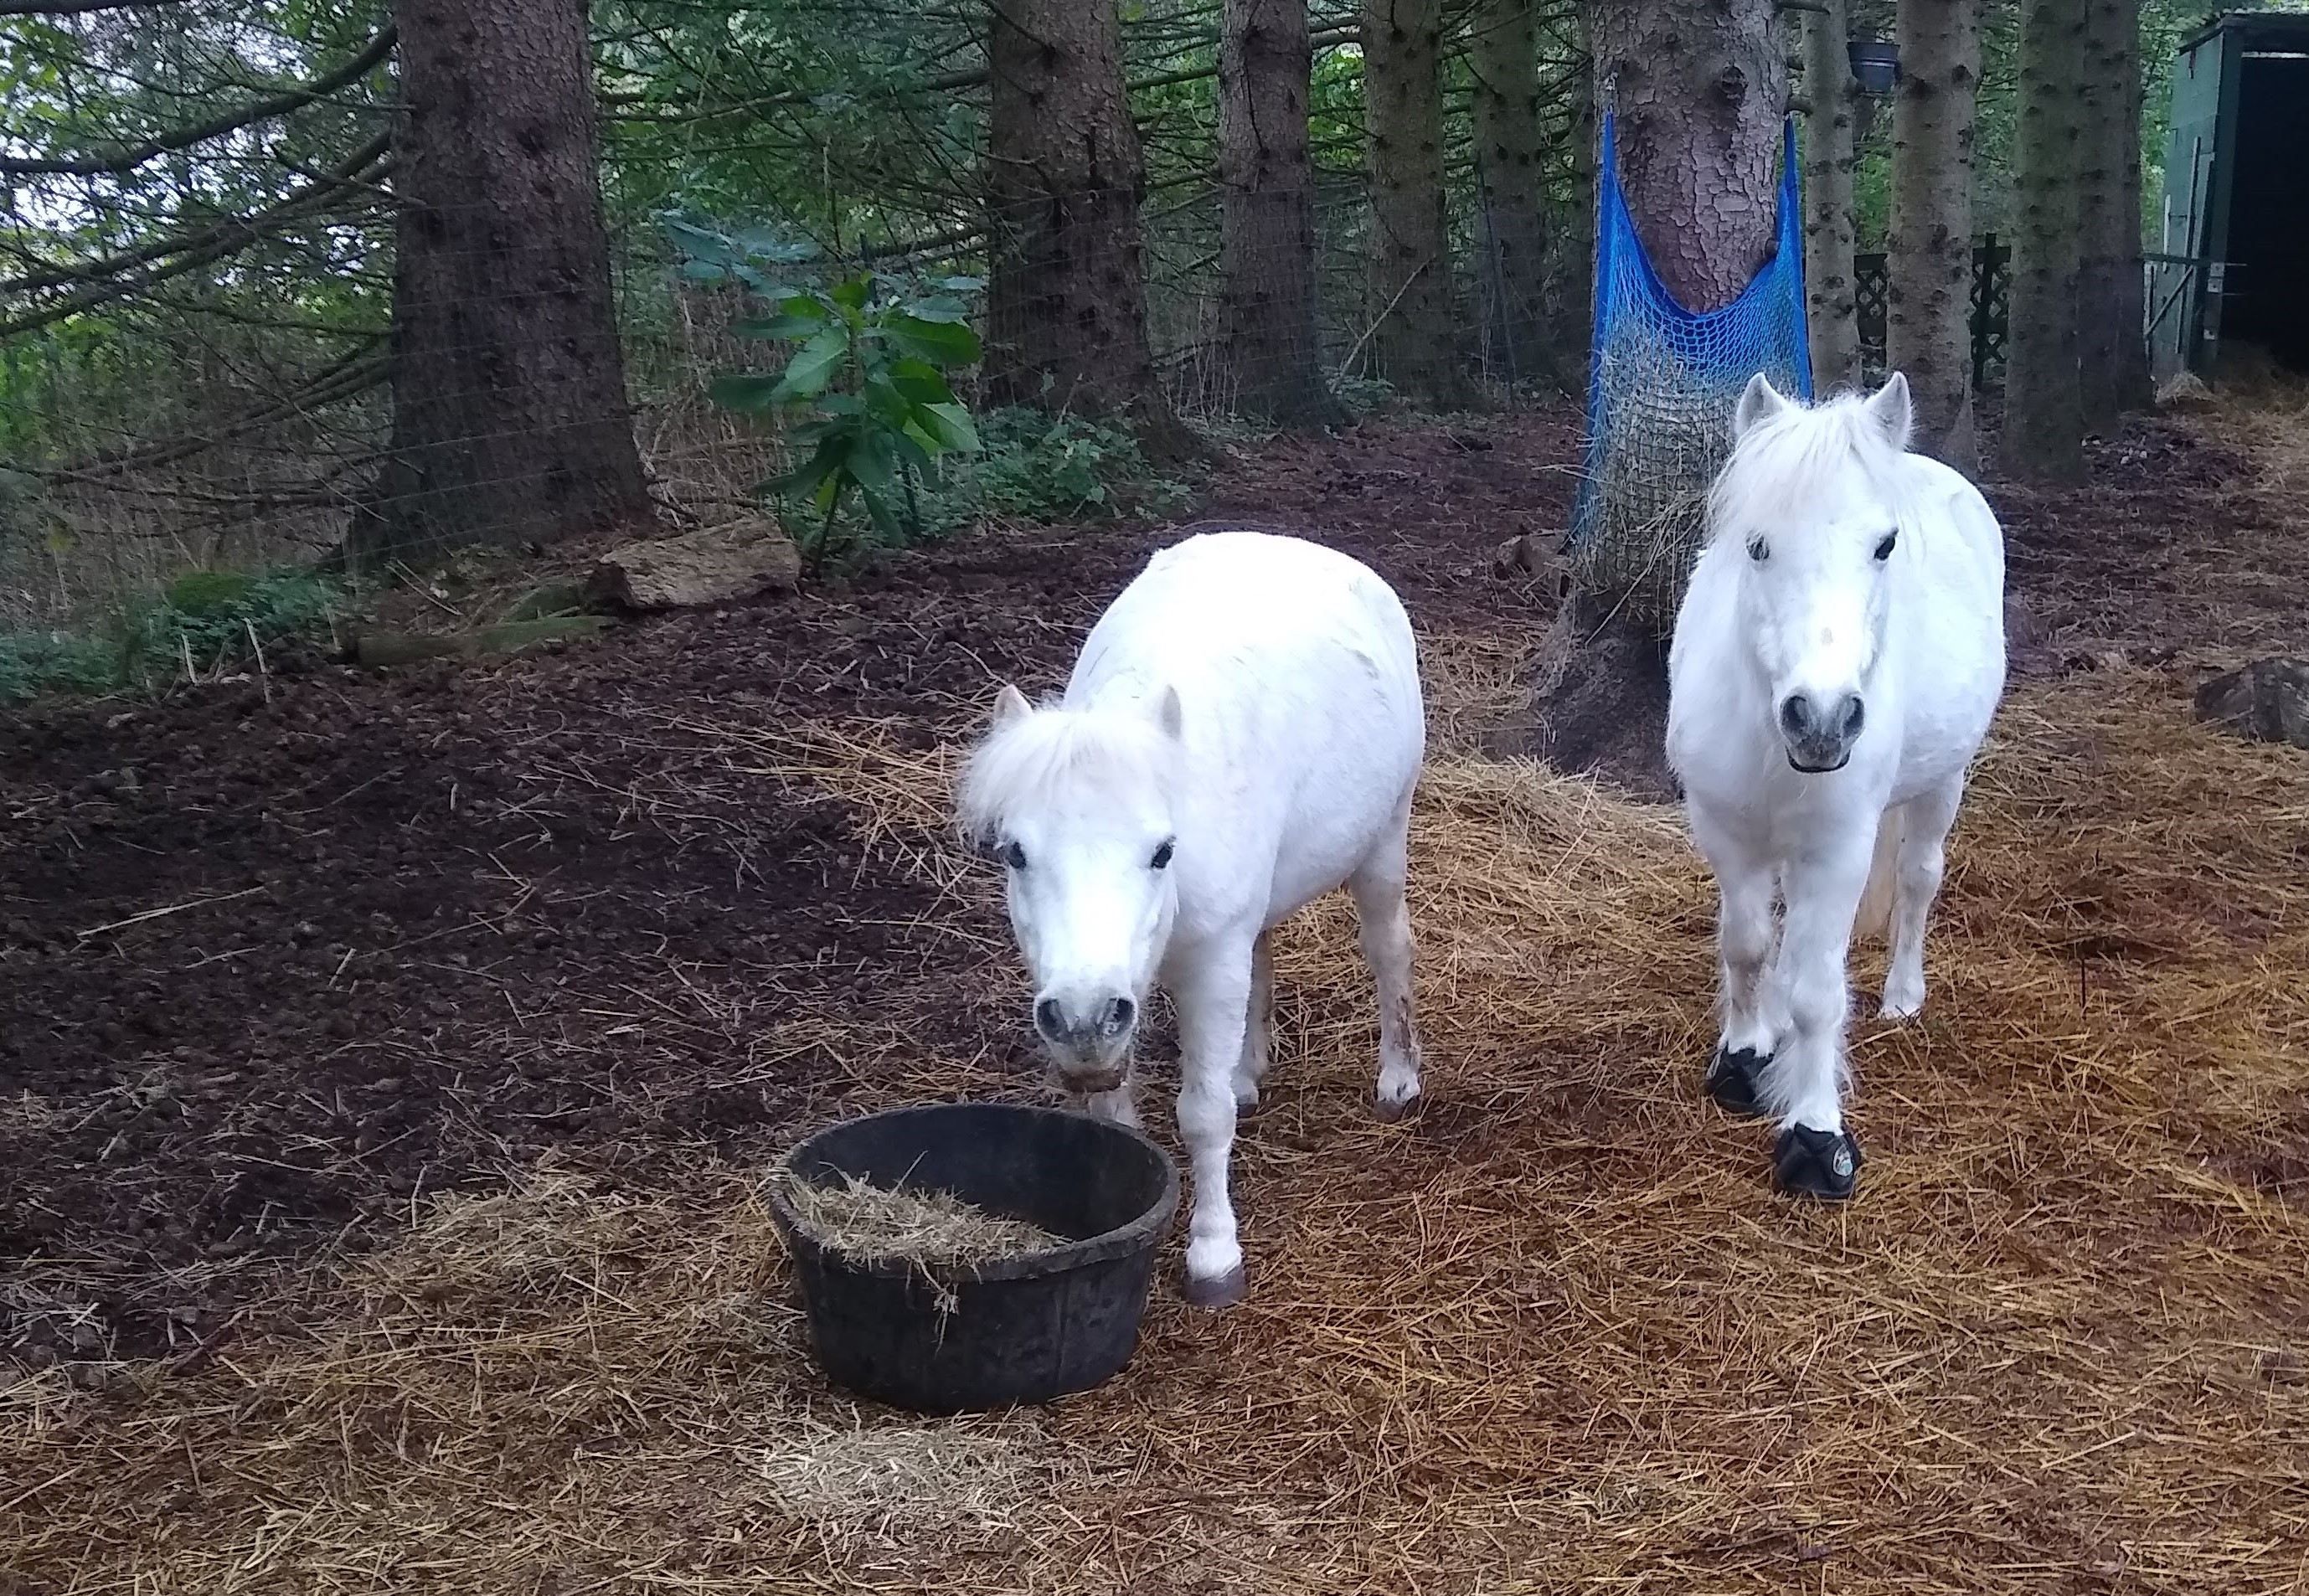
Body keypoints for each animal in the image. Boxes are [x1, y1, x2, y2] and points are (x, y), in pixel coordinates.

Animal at [956, 531, 1422, 1302]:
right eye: (1014, 853)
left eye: (1161, 851)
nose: (1082, 1017)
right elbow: (1116, 1114)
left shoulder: (1208, 962)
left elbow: (1203, 1118)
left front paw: (1213, 1254)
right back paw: (1247, 1070)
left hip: (1382, 843)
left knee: (1388, 950)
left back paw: (1399, 1078)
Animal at [1662, 372, 2004, 1201]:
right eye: (1756, 545)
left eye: (1884, 545)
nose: (1820, 718)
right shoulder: (1726, 833)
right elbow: (1747, 947)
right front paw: (1743, 1058)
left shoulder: (1838, 848)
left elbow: (1820, 994)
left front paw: (1815, 1139)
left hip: (1941, 785)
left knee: (1917, 880)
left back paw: (1903, 995)